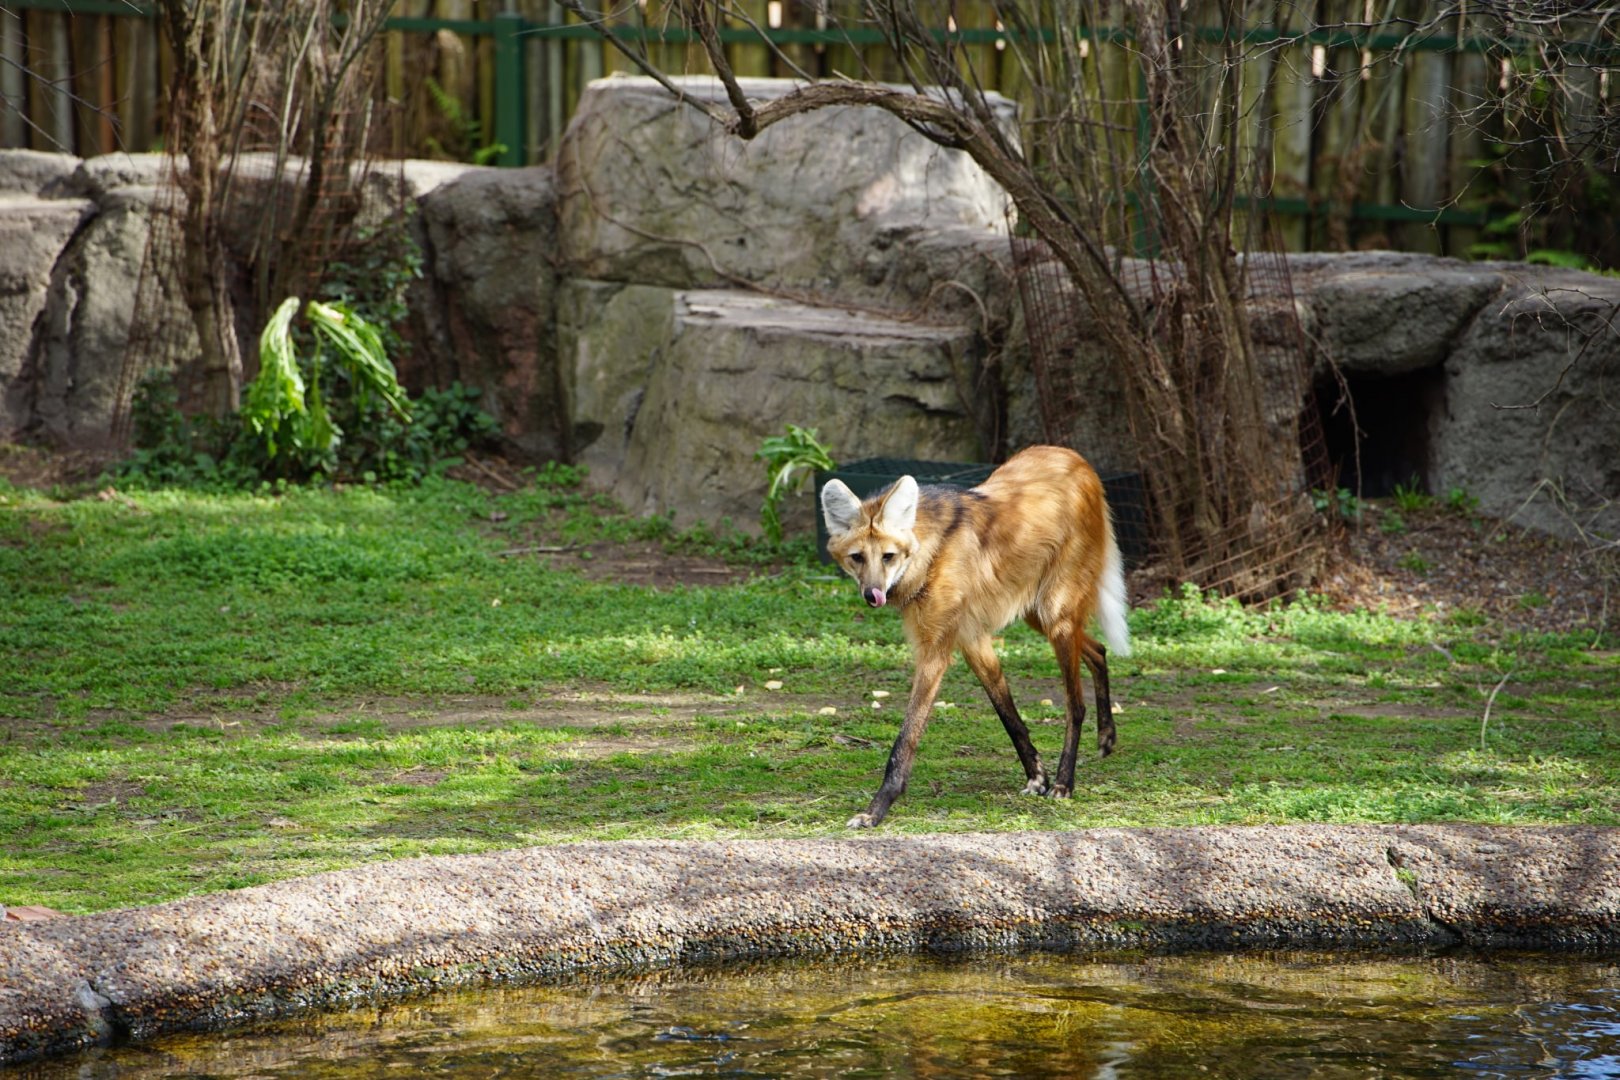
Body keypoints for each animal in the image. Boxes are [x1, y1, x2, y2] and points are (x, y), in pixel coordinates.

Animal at [819, 445, 1131, 828]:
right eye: (857, 558)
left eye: (888, 557)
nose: (872, 594)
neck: (929, 555)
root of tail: (1076, 459)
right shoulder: (972, 639)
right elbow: (1007, 714)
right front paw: (1036, 777)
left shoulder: (936, 652)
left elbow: (906, 738)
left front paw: (875, 811)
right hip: (1038, 614)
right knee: (1098, 649)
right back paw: (1106, 737)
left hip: (1055, 614)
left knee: (1075, 703)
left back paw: (1064, 782)